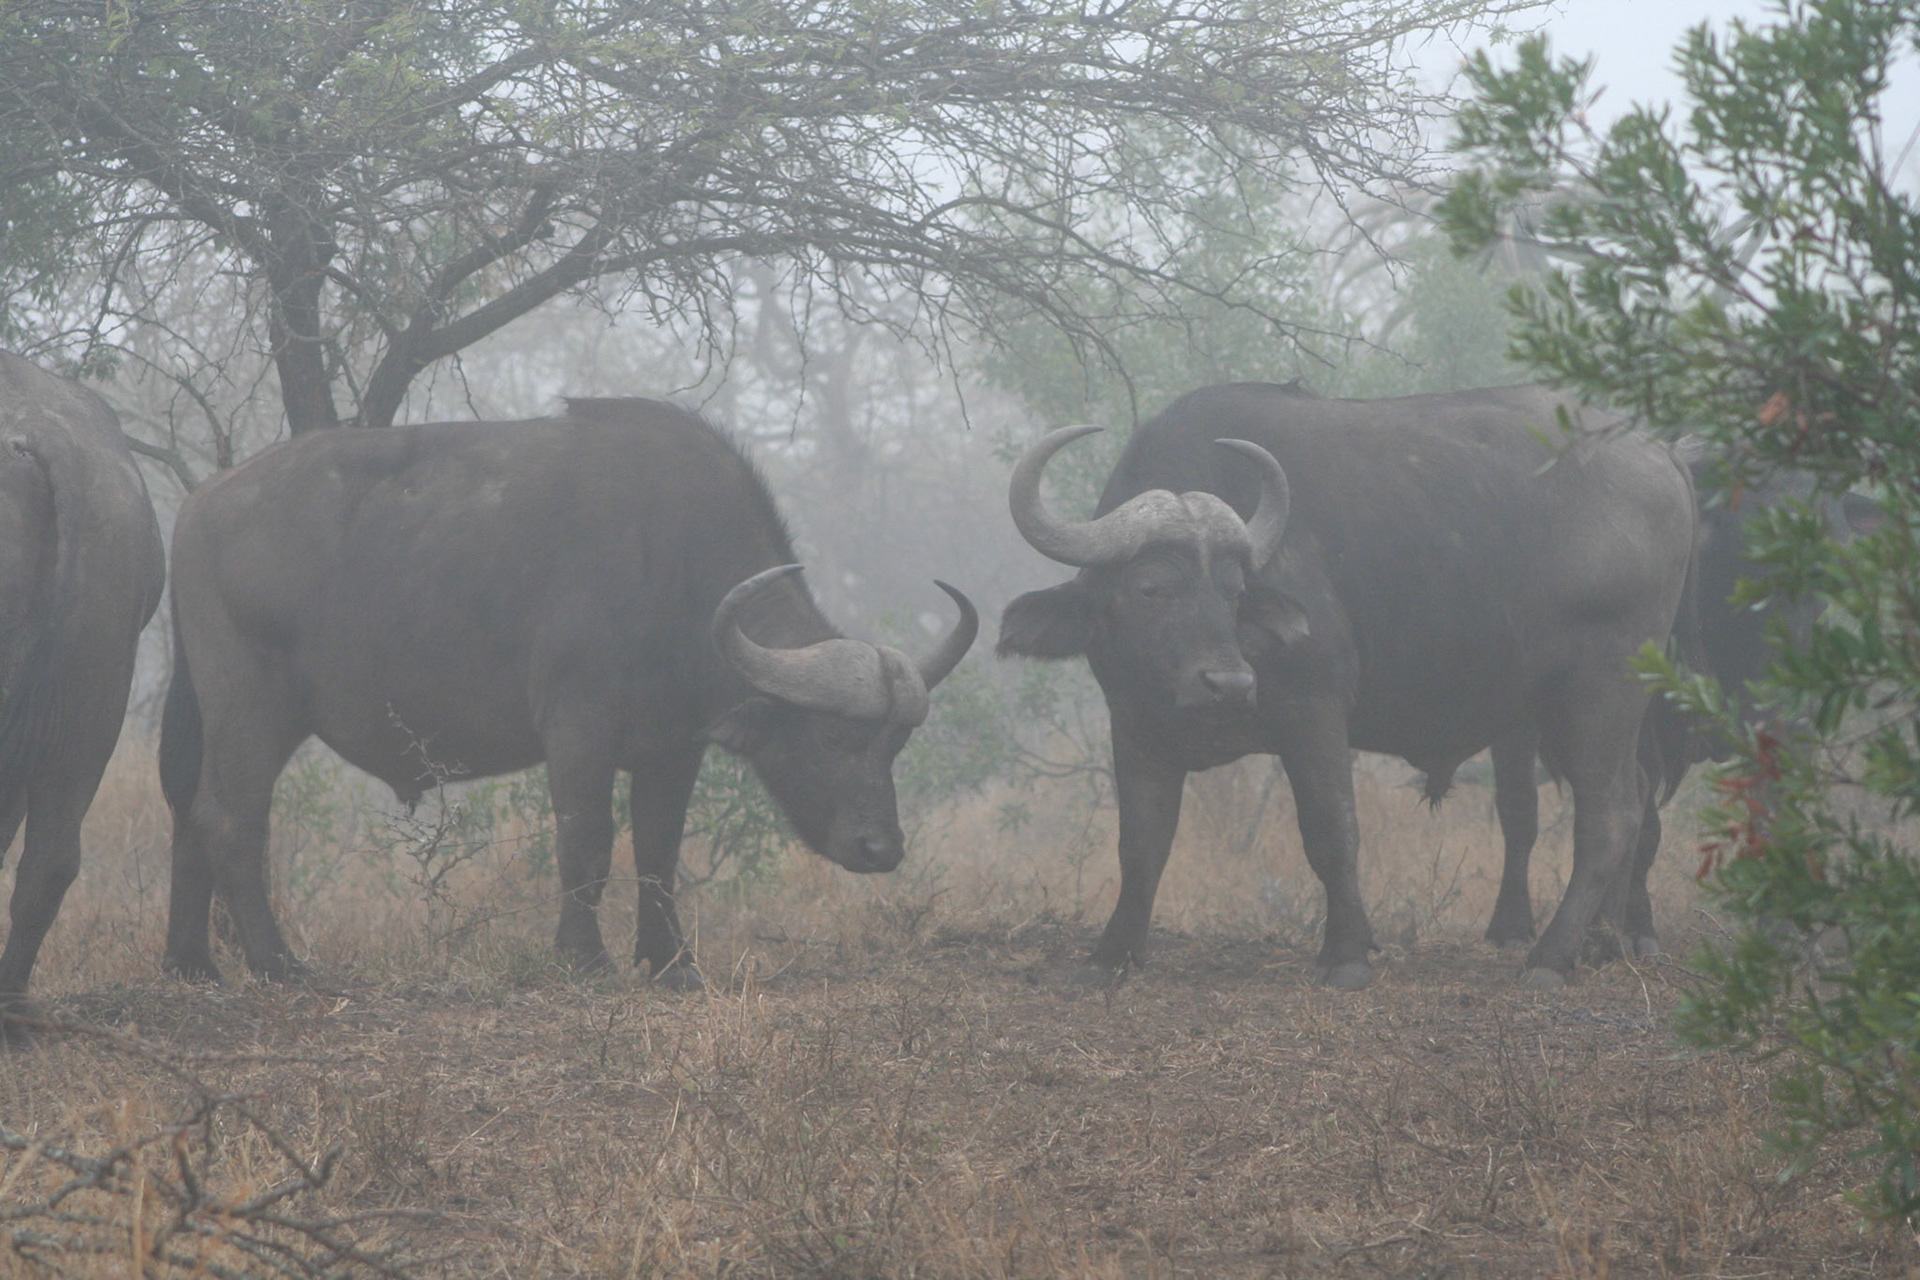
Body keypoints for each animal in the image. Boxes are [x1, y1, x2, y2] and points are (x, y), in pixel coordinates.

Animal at [159, 397, 975, 989]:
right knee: (231, 820)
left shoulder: (672, 749)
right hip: (251, 709)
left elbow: (658, 849)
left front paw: (673, 963)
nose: (881, 848)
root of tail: (196, 505)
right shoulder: (578, 728)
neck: (672, 567)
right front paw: (585, 960)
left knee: (190, 814)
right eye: (835, 736)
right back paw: (276, 963)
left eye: (897, 745)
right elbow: (586, 841)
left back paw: (191, 964)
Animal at [998, 383, 1693, 989]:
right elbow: (1140, 845)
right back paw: (1602, 944)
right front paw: (1110, 957)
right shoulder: (1136, 728)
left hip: (1600, 691)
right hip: (1571, 709)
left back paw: (1550, 958)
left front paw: (1347, 955)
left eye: (1233, 591)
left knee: (1609, 815)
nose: (1229, 683)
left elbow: (1332, 832)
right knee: (1634, 800)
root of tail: (1658, 454)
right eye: (1150, 588)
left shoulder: (1314, 714)